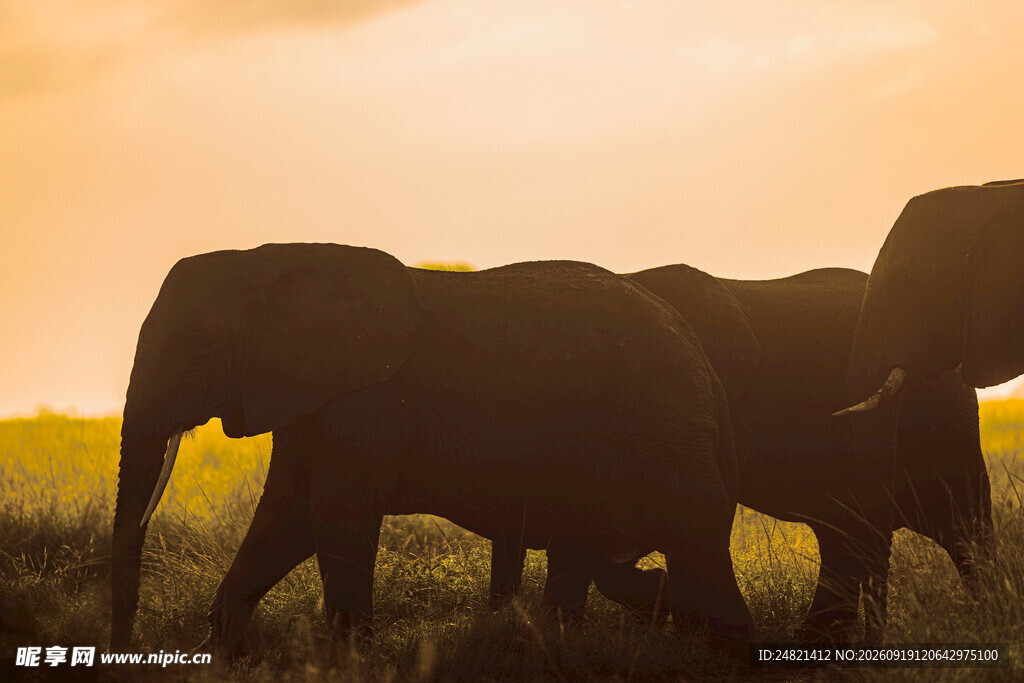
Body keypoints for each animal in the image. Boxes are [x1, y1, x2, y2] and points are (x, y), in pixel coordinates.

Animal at [109, 243, 757, 656]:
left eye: (195, 346)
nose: (126, 649)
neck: (270, 259)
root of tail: (706, 368)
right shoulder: (310, 392)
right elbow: (286, 515)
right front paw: (224, 654)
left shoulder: (365, 400)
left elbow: (332, 513)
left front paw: (350, 660)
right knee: (592, 550)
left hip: (664, 434)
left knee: (695, 541)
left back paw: (725, 654)